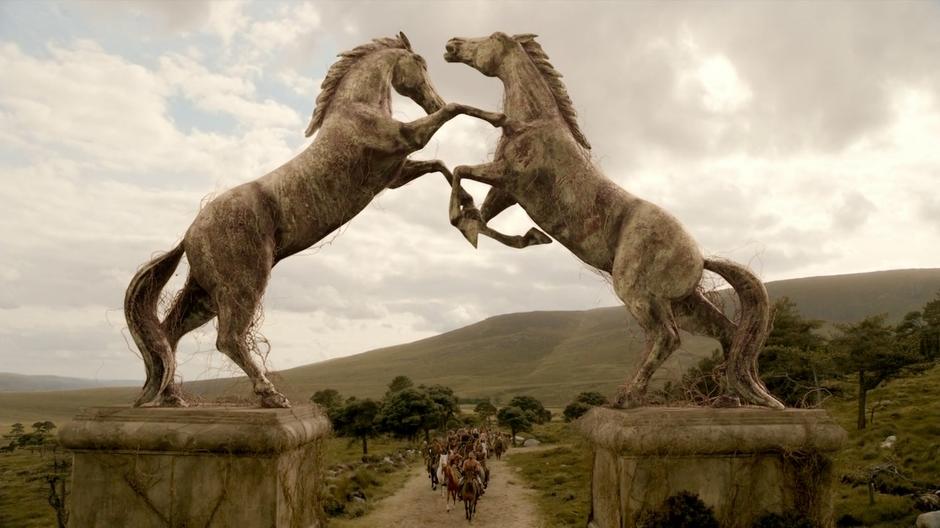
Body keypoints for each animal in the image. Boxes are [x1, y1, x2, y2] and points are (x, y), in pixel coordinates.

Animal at [124, 34, 510, 408]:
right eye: (420, 63)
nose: (431, 99)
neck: (356, 109)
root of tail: (190, 233)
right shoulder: (407, 139)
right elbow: (455, 110)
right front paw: (498, 118)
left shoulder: (396, 173)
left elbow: (440, 165)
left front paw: (468, 211)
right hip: (243, 283)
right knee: (228, 338)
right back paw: (269, 395)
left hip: (203, 293)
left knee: (168, 334)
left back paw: (171, 397)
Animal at [444, 33, 784, 408]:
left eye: (491, 39)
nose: (452, 44)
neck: (532, 123)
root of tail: (700, 257)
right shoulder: (507, 191)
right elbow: (481, 211)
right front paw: (508, 232)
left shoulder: (508, 176)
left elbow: (459, 170)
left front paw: (471, 221)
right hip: (685, 303)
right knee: (727, 333)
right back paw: (730, 399)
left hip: (638, 293)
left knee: (666, 337)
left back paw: (627, 396)